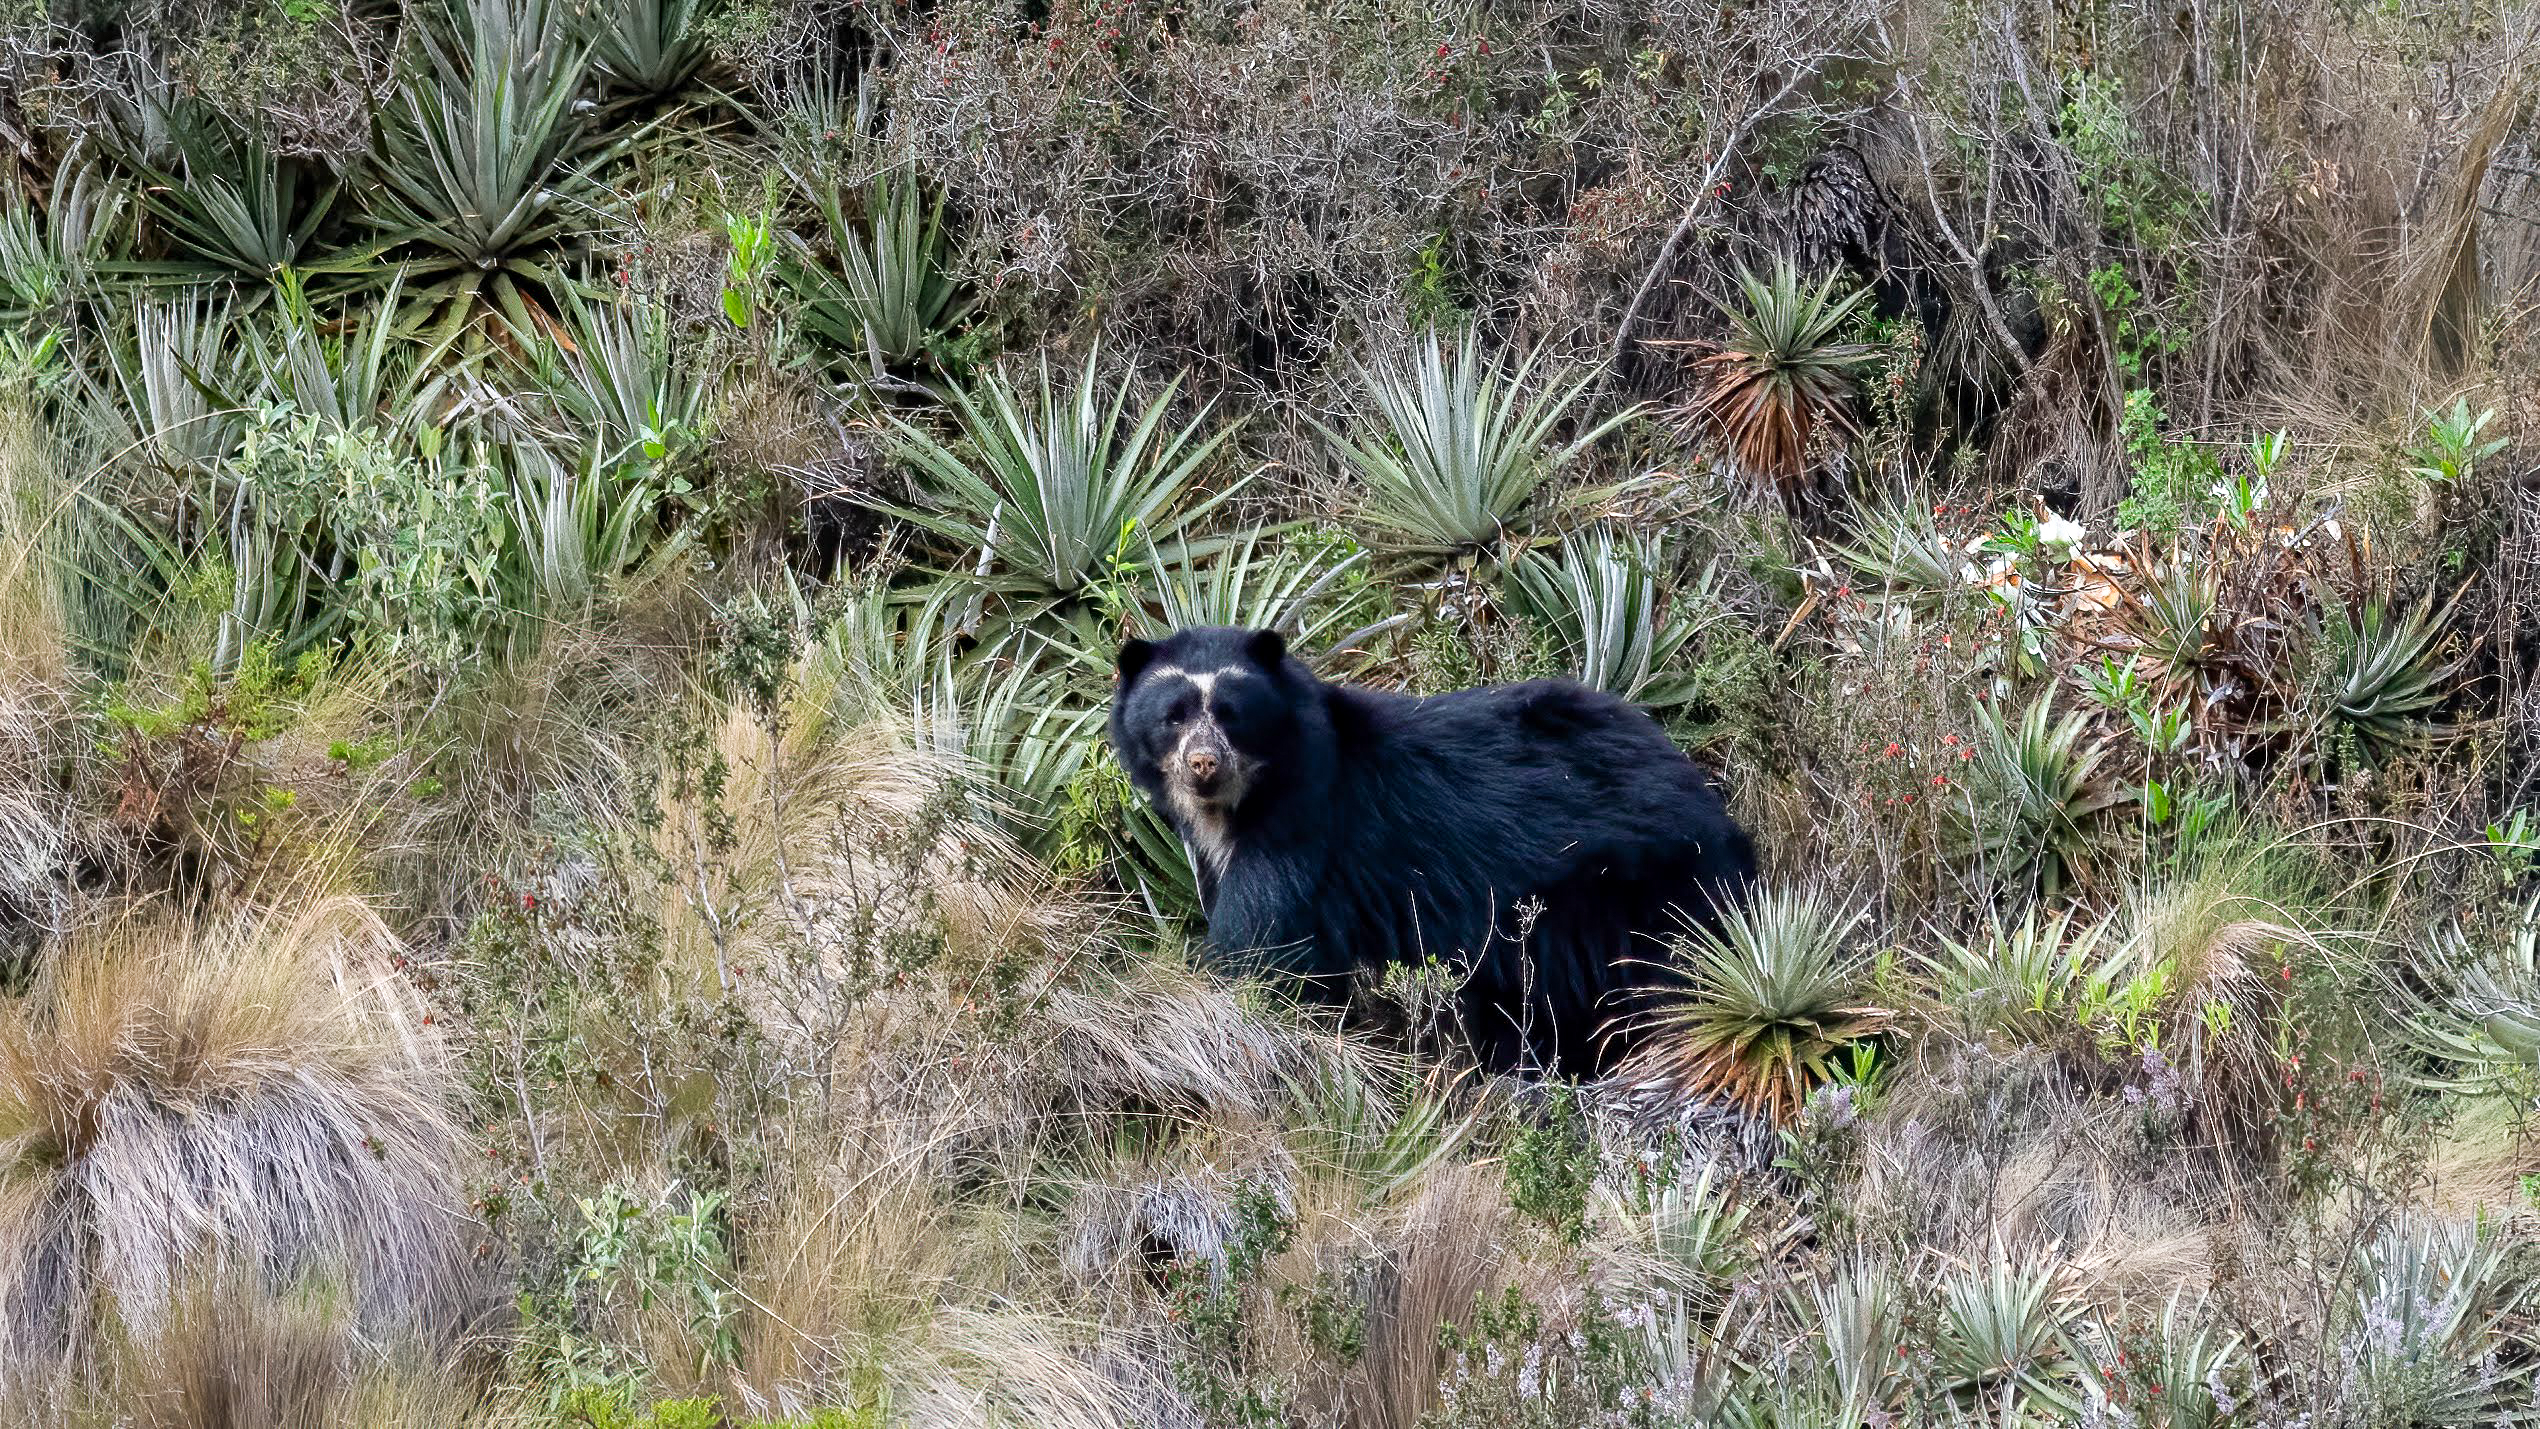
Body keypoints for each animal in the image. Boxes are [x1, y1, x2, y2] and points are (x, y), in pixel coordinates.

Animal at [1109, 624, 1757, 1077]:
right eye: (1172, 716)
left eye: (1231, 714)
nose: (1203, 765)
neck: (1238, 806)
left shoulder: (1301, 822)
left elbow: (1263, 949)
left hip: (1631, 887)